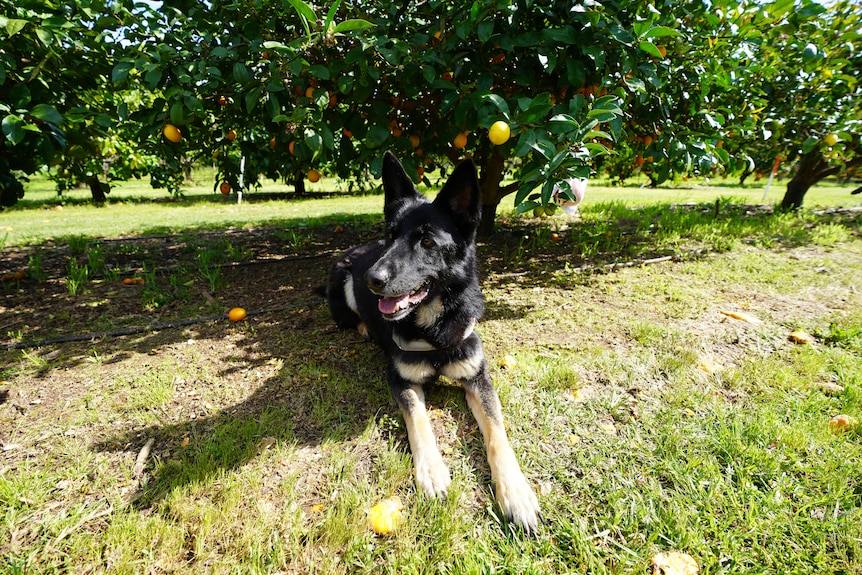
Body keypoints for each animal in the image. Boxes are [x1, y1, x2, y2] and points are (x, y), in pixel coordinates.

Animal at [330, 151, 540, 532]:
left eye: (427, 242)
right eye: (390, 236)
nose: (371, 279)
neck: (434, 326)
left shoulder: (478, 379)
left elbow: (498, 434)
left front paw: (516, 493)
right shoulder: (401, 381)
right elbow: (419, 422)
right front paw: (432, 471)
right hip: (344, 287)